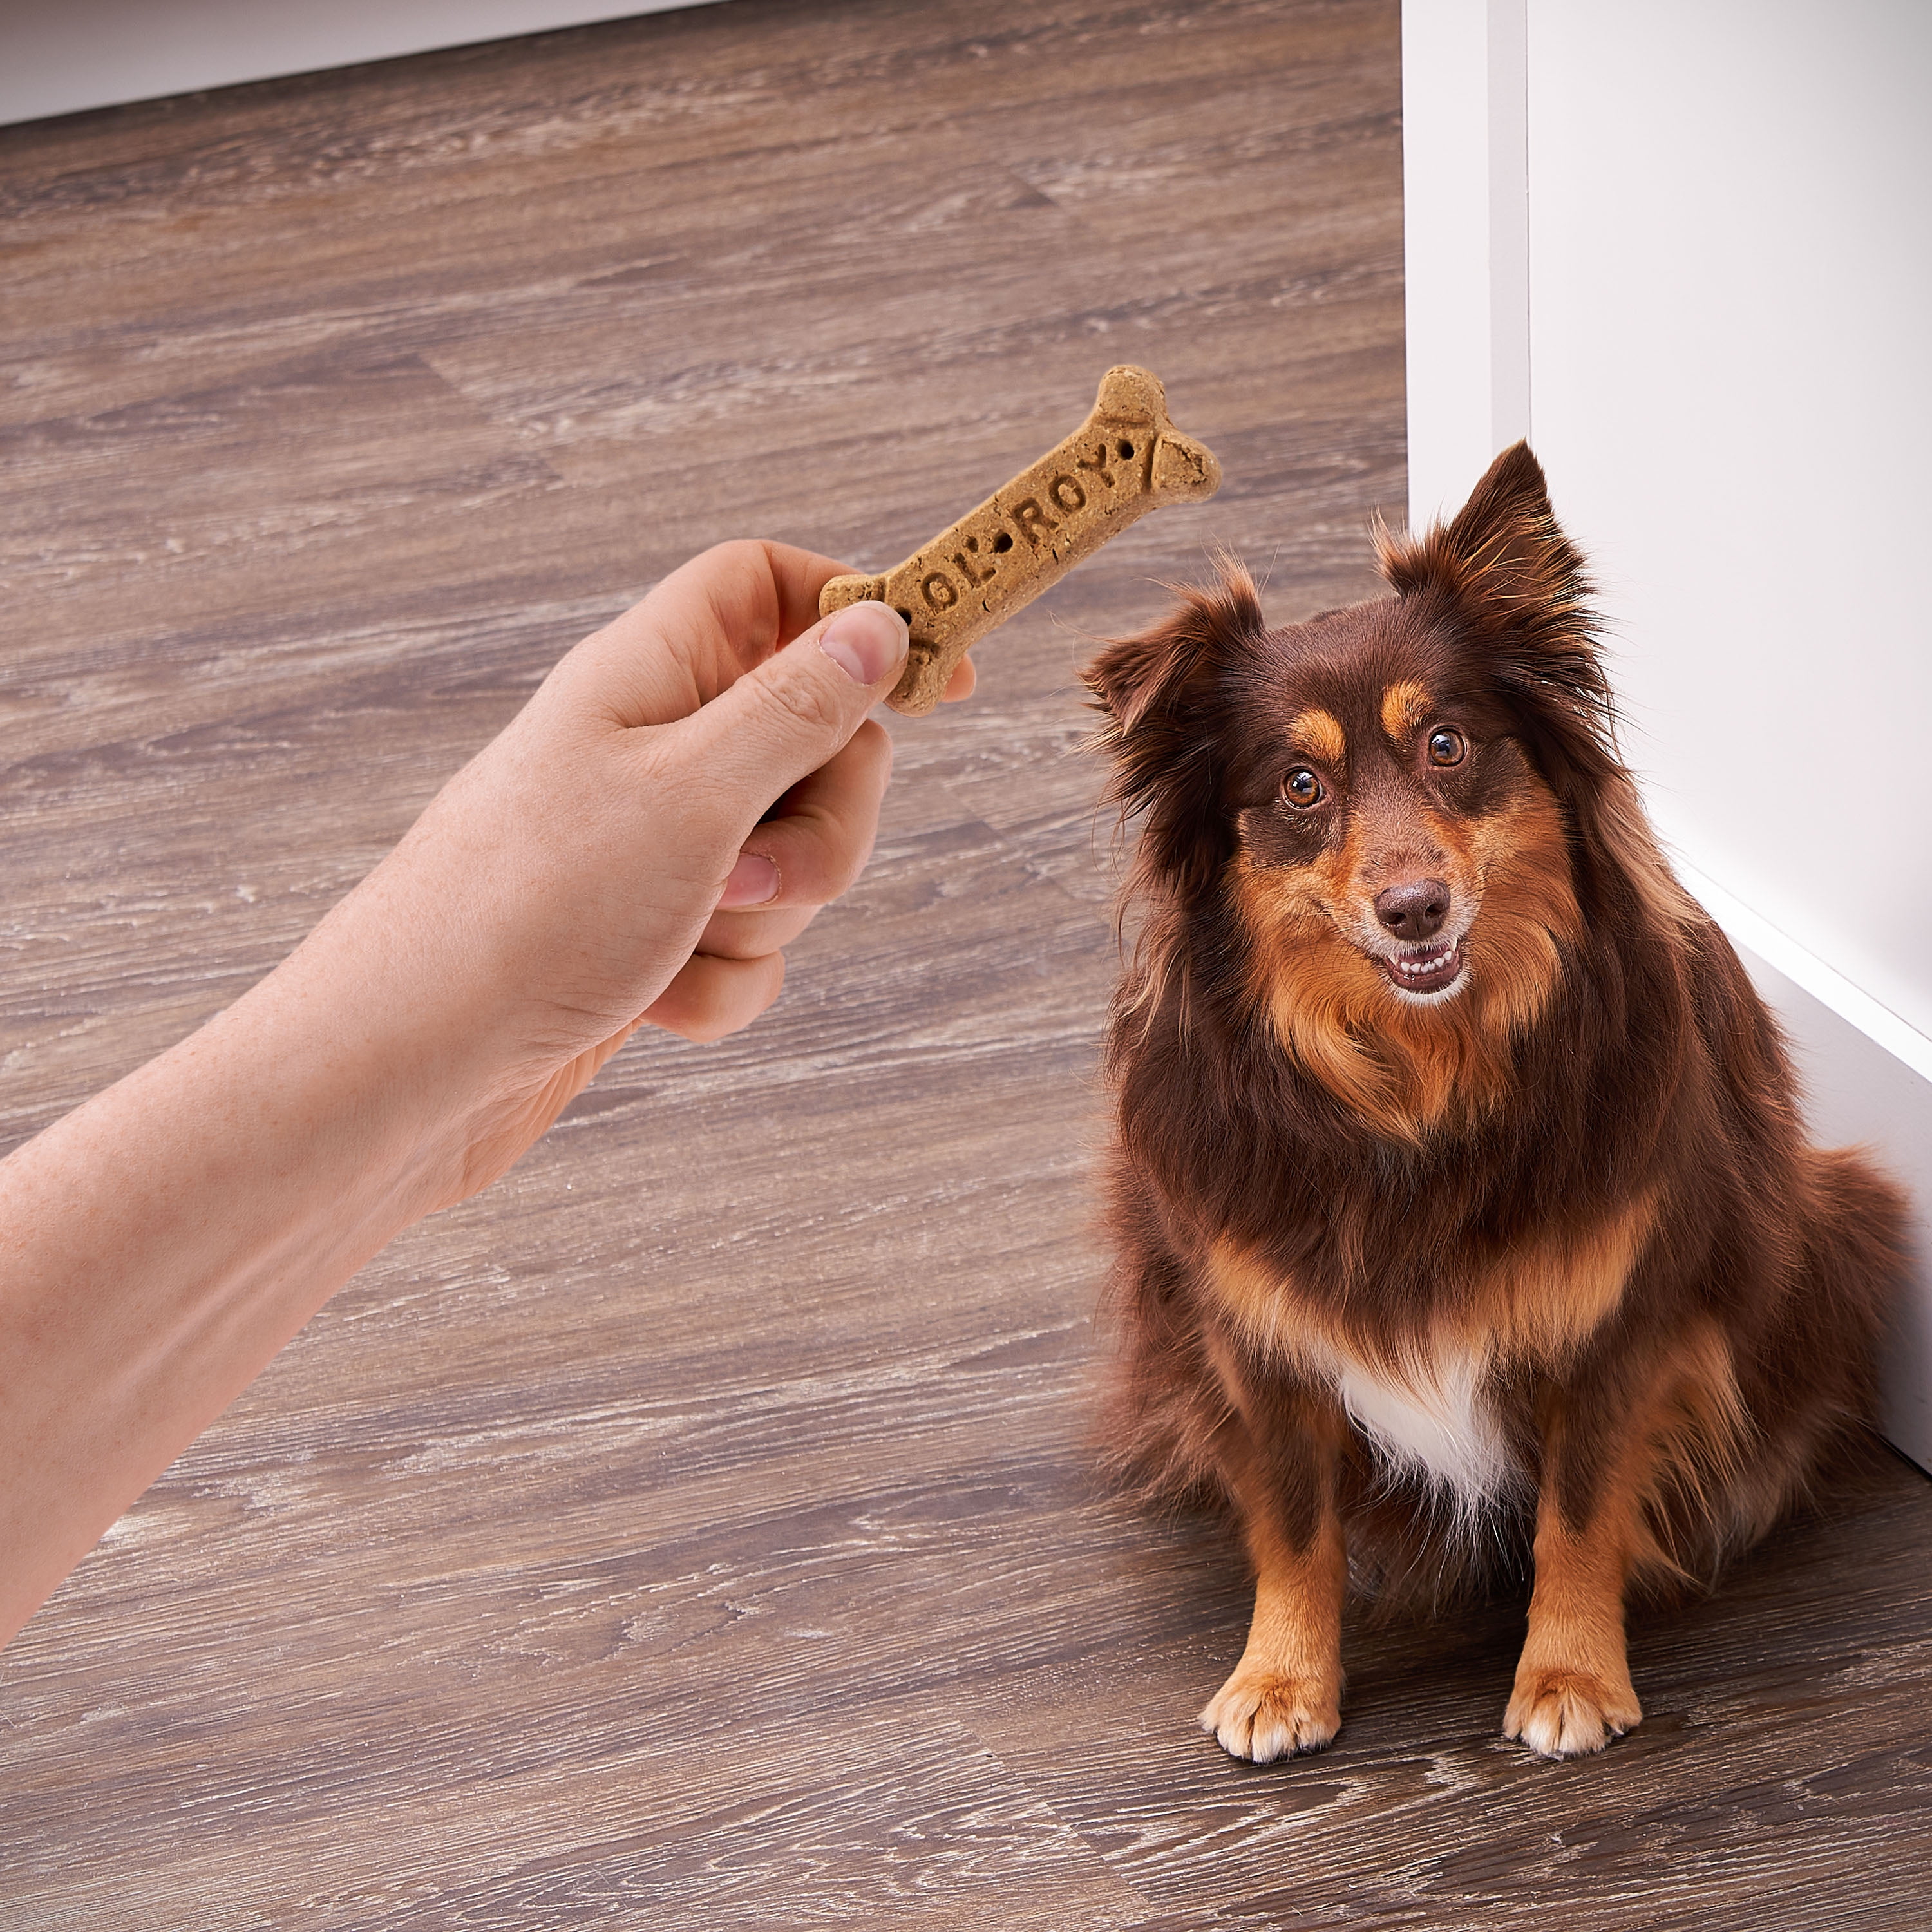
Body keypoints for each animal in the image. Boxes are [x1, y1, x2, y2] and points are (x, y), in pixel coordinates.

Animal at [1082, 442, 1909, 1770]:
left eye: (1448, 744)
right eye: (1299, 785)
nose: (1414, 908)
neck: (1421, 1080)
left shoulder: (1624, 1315)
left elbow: (1579, 1509)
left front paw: (1570, 1674)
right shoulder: (1253, 1330)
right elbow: (1293, 1522)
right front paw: (1281, 1677)